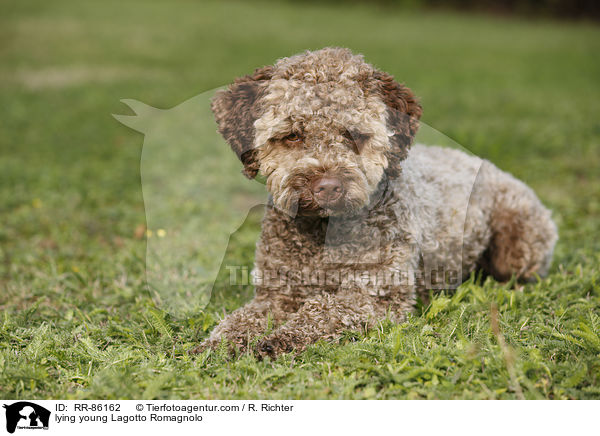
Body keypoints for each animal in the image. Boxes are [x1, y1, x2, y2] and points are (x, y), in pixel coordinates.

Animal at [197, 46, 556, 358]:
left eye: (354, 135)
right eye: (293, 135)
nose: (328, 187)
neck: (322, 235)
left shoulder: (377, 296)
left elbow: (323, 309)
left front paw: (280, 339)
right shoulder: (276, 294)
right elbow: (241, 319)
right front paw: (217, 343)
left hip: (518, 240)